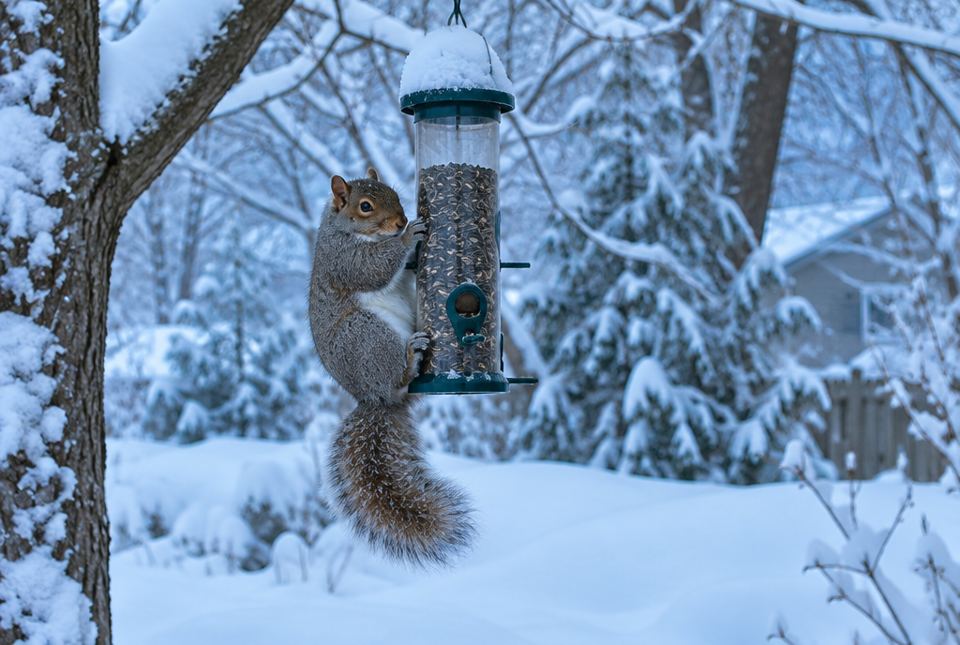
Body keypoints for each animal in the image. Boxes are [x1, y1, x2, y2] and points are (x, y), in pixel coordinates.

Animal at [308, 168, 474, 566]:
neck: (349, 229)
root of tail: (375, 400)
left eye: (396, 195)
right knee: (396, 375)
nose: (400, 221)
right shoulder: (342, 258)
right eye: (365, 206)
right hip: (367, 337)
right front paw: (409, 236)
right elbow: (372, 268)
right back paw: (410, 358)